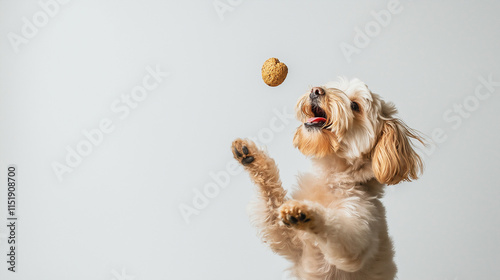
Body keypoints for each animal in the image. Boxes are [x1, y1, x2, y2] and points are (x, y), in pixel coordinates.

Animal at [232, 77, 424, 280]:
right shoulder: (288, 238)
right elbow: (271, 201)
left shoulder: (358, 236)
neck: (331, 178)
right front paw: (250, 156)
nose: (316, 90)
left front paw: (305, 212)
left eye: (355, 106)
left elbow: (335, 227)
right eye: (334, 88)